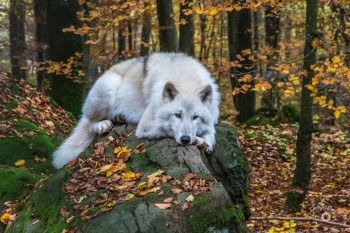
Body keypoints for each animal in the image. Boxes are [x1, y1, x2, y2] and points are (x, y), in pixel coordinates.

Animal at [52, 52, 219, 168]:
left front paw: (206, 141)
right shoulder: (146, 126)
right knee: (90, 121)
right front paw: (198, 141)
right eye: (177, 115)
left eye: (195, 117)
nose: (185, 139)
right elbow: (169, 130)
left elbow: (211, 131)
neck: (185, 79)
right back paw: (102, 124)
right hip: (108, 88)